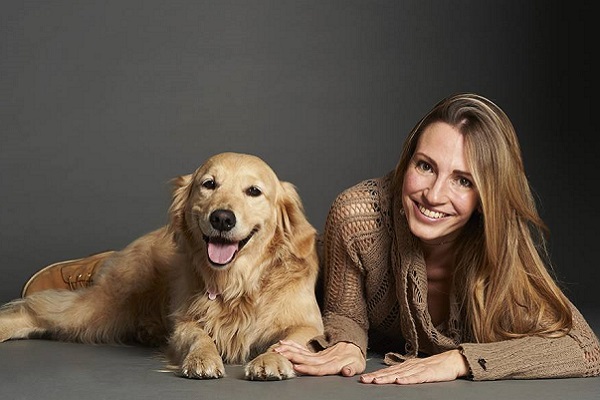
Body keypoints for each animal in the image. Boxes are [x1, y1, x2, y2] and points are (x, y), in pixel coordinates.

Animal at [0, 152, 324, 380]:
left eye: (254, 191)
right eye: (209, 184)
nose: (222, 218)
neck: (238, 283)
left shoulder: (310, 325)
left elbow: (290, 340)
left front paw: (271, 359)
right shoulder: (182, 322)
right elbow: (197, 336)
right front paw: (203, 357)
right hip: (98, 309)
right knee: (34, 310)